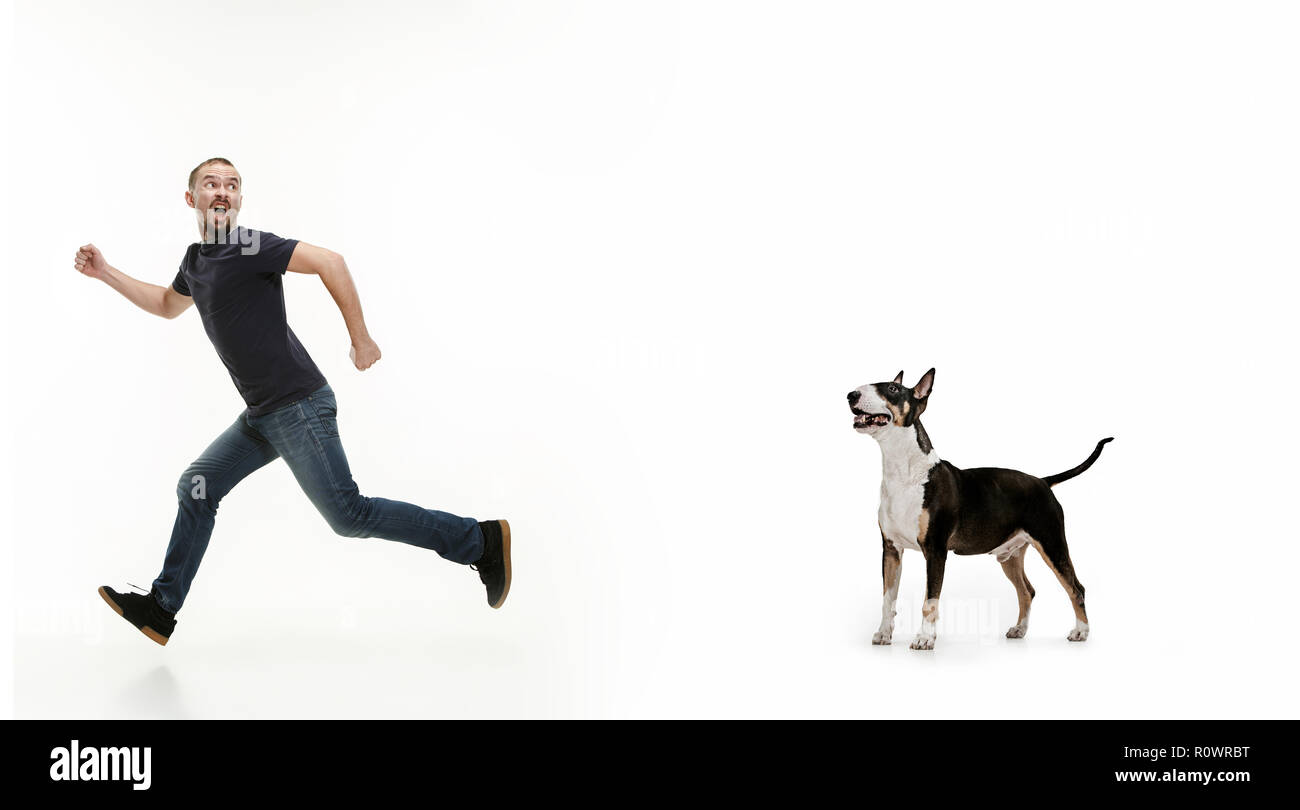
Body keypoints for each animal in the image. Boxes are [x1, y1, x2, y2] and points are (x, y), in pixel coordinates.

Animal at [847, 366, 1112, 652]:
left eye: (893, 389)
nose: (851, 395)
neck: (905, 473)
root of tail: (1042, 481)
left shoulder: (935, 550)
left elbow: (930, 601)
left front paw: (925, 638)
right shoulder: (891, 549)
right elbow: (888, 598)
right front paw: (884, 634)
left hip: (1052, 543)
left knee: (1076, 587)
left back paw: (1081, 631)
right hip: (1011, 555)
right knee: (1027, 591)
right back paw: (1019, 629)